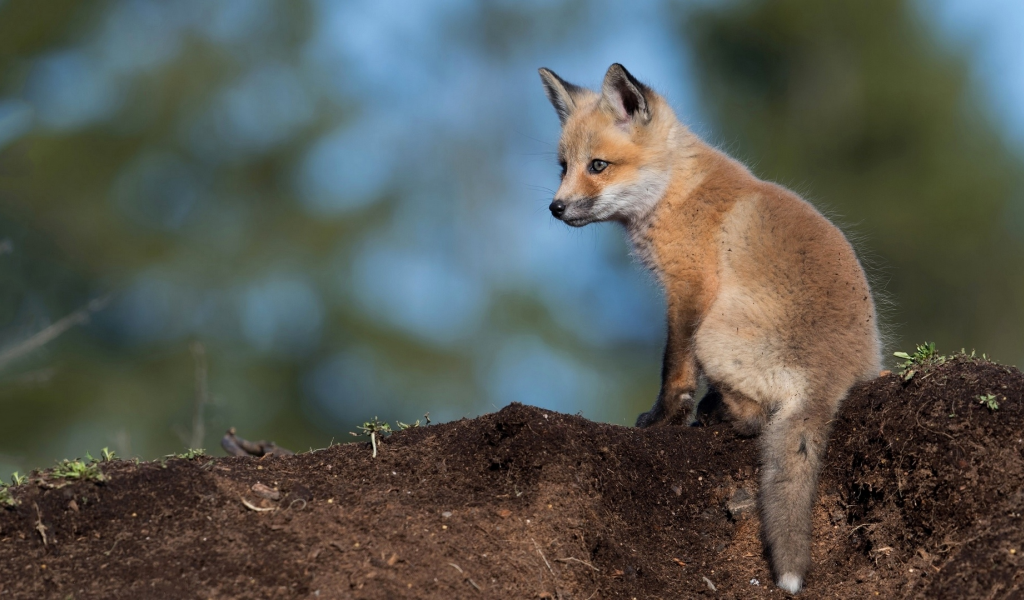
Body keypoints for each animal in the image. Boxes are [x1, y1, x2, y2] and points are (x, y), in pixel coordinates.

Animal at [536, 64, 880, 589]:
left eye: (597, 166)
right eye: (563, 166)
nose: (555, 208)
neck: (678, 192)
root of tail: (831, 377)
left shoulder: (689, 288)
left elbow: (674, 368)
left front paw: (663, 419)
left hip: (714, 333)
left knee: (757, 419)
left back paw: (718, 413)